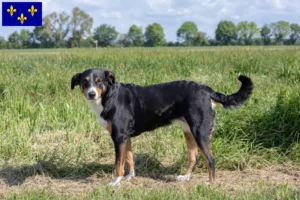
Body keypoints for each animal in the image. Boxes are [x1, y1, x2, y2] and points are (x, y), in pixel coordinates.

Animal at [71, 68, 253, 186]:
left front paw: (115, 182)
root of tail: (207, 90)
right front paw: (131, 177)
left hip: (200, 133)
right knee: (194, 158)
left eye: (98, 81)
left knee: (210, 159)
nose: (91, 94)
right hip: (188, 132)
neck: (110, 97)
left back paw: (211, 184)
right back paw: (185, 178)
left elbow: (118, 164)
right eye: (84, 82)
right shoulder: (125, 137)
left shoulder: (119, 136)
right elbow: (129, 158)